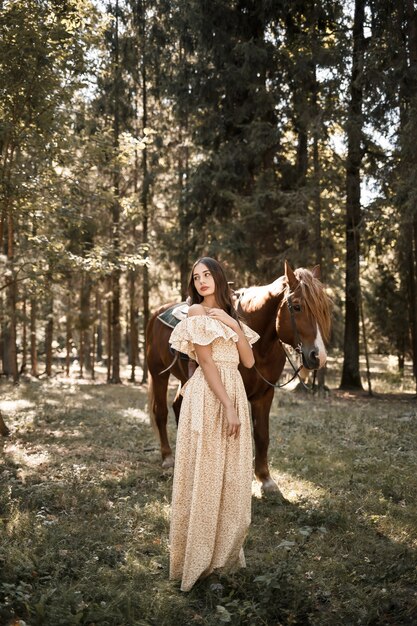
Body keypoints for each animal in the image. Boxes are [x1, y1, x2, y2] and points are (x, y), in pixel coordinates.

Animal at [146, 260, 332, 492]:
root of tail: (157, 313)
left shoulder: (265, 394)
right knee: (160, 411)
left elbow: (262, 435)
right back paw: (168, 457)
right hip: (158, 375)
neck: (260, 347)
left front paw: (265, 478)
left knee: (178, 406)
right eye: (297, 306)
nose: (318, 356)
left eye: (324, 310)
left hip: (185, 378)